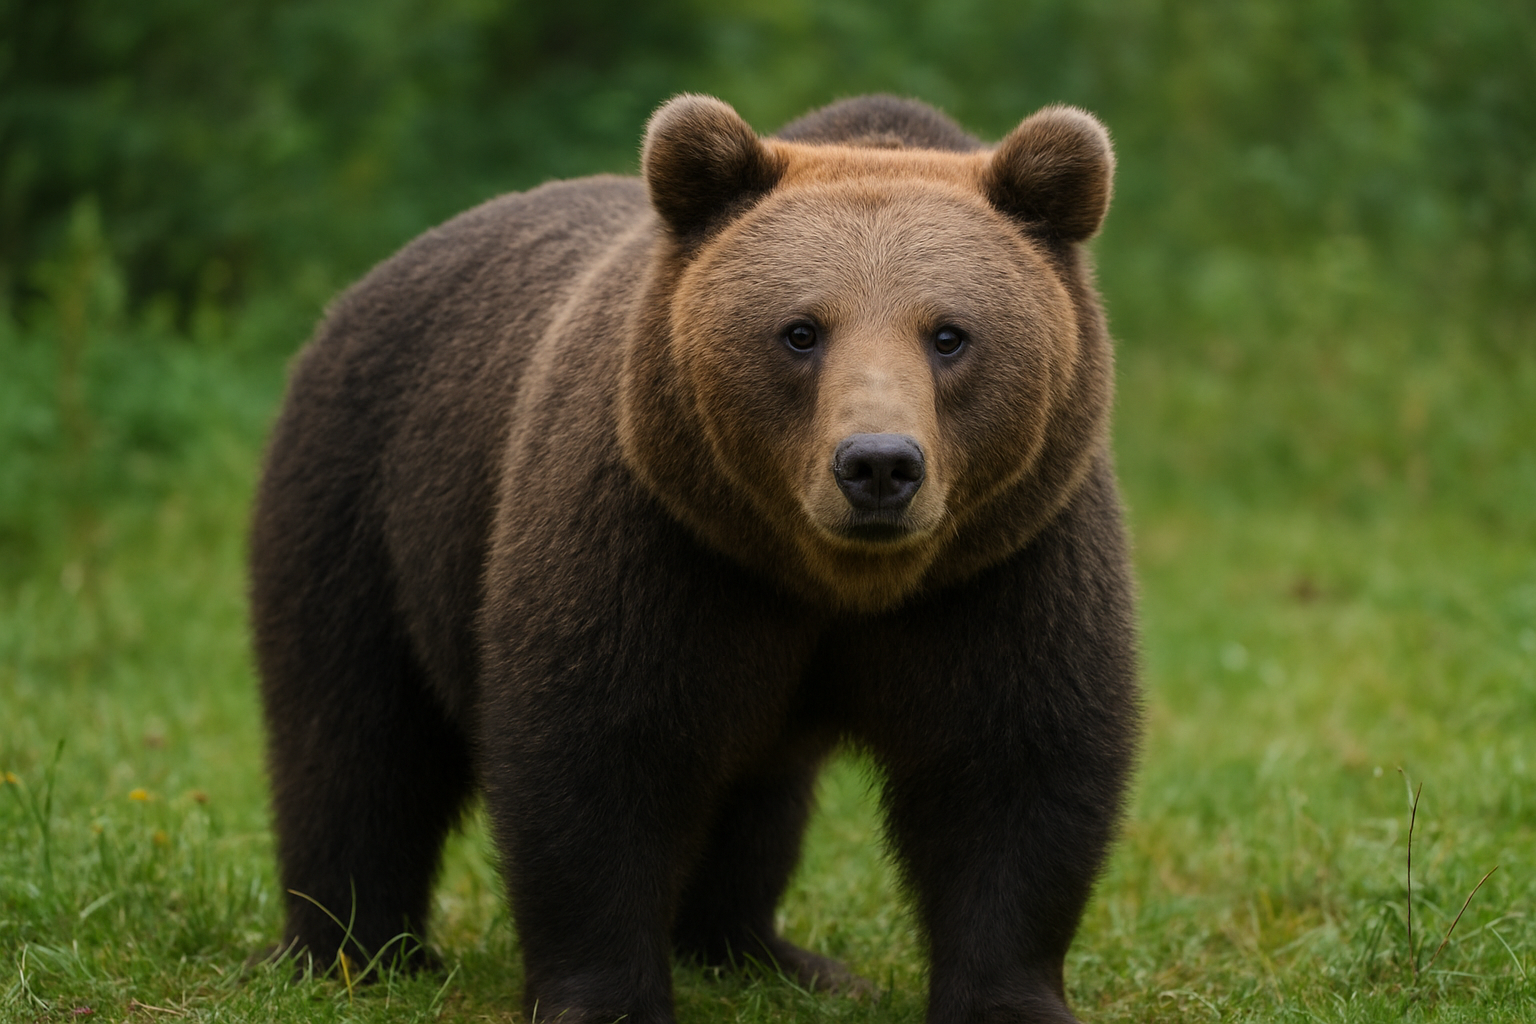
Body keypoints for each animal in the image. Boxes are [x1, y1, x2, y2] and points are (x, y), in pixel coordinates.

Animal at [250, 94, 1140, 1024]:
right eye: (800, 330)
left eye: (950, 334)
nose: (878, 466)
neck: (828, 579)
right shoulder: (656, 542)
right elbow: (596, 757)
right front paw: (605, 999)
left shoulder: (1004, 562)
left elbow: (1014, 768)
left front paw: (1008, 999)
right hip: (366, 500)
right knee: (352, 735)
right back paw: (347, 950)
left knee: (758, 794)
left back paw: (758, 950)